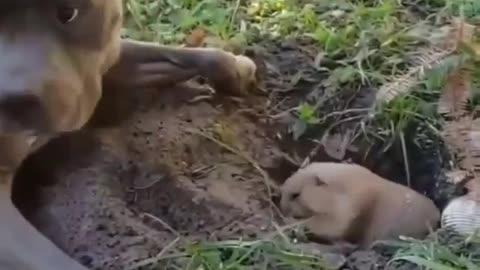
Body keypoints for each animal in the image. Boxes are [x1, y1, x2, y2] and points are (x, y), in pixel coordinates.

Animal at [0, 1, 258, 268]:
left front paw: (237, 69)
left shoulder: (110, 59)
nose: (11, 100)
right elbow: (58, 262)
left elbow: (178, 55)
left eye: (67, 12)